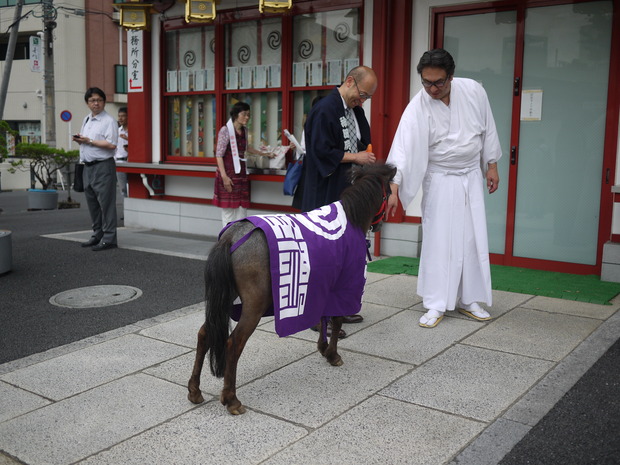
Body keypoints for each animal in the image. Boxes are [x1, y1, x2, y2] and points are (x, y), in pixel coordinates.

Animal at [186, 163, 398, 414]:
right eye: (388, 193)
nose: (382, 222)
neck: (350, 220)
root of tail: (232, 236)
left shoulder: (322, 285)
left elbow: (323, 317)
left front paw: (323, 347)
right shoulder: (343, 285)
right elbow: (336, 320)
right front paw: (333, 354)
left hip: (226, 297)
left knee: (205, 333)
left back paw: (195, 390)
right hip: (253, 306)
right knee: (233, 343)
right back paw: (231, 399)